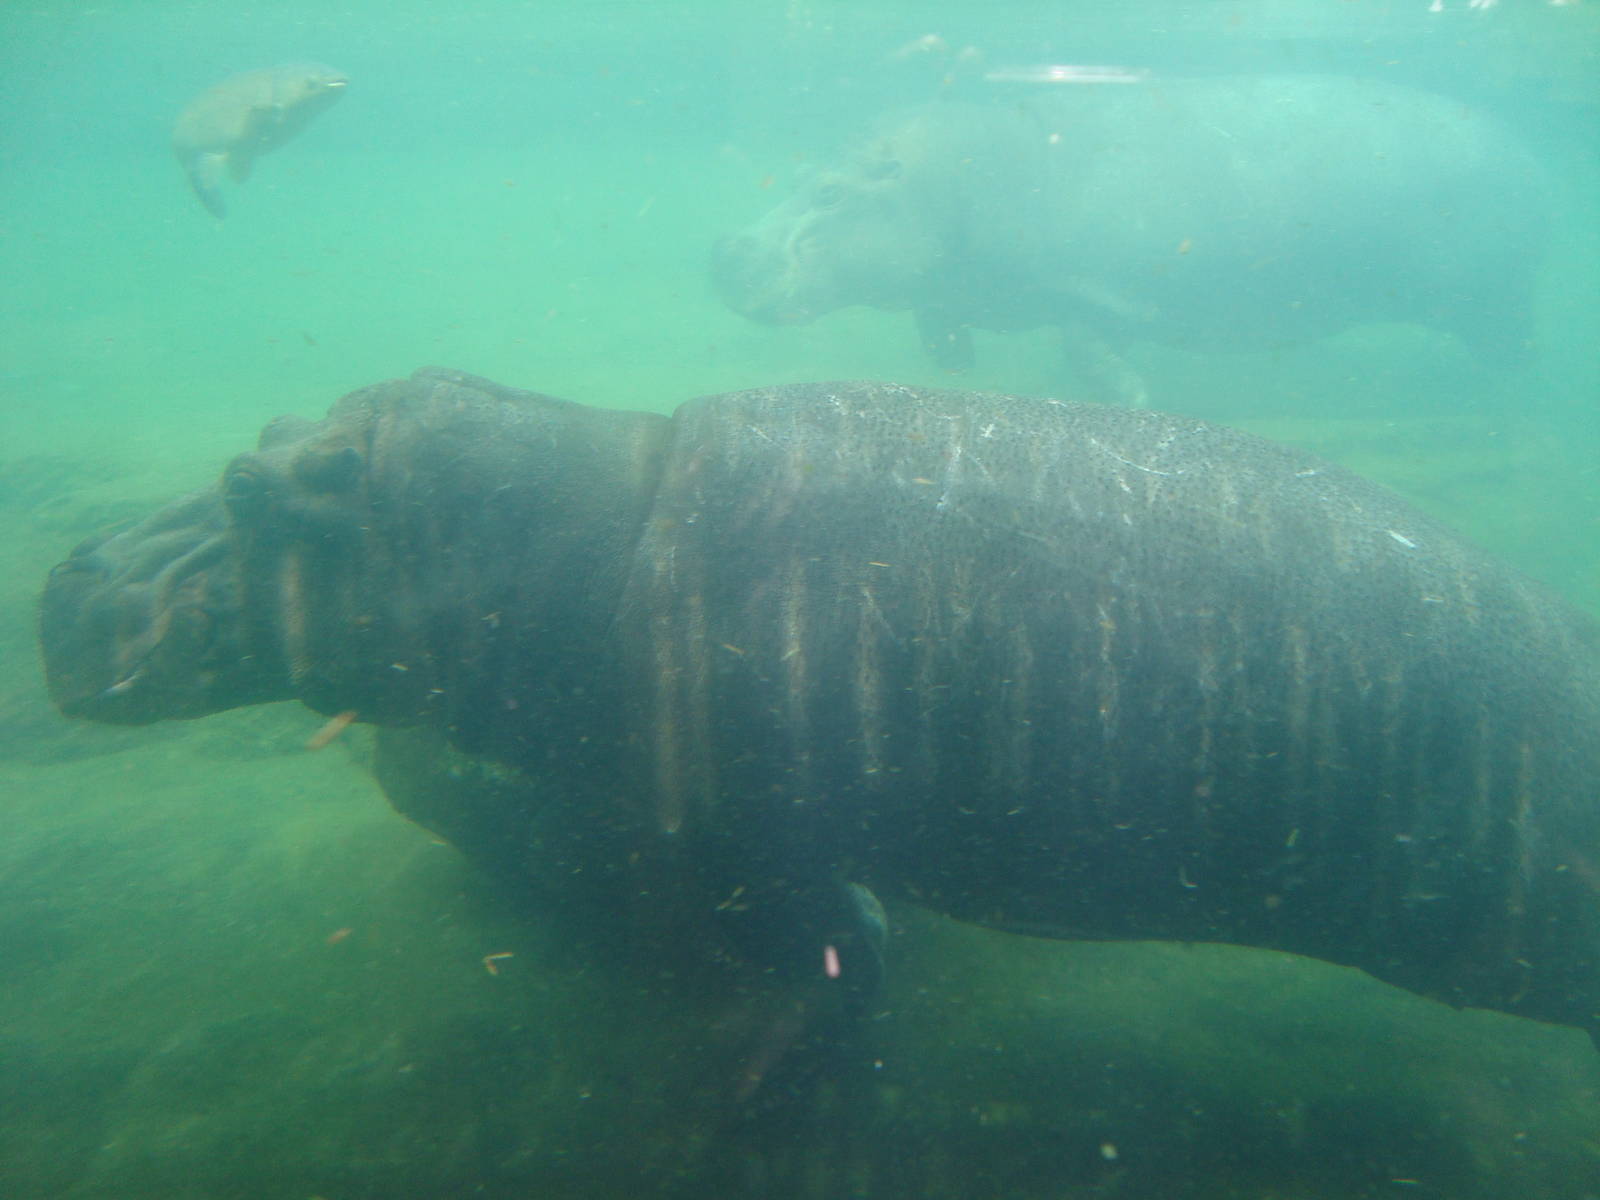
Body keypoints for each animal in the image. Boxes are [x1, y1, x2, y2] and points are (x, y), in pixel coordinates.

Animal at [38, 368, 1600, 1047]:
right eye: (261, 431)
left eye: (253, 488)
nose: (67, 576)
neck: (597, 520)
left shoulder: (738, 830)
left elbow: (792, 926)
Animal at [712, 76, 1549, 396]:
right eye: (802, 175)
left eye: (829, 190)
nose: (724, 250)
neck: (957, 178)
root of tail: (1530, 158)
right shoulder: (946, 280)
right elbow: (938, 314)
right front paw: (953, 357)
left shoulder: (1100, 290)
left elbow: (1091, 347)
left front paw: (1135, 395)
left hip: (1494, 296)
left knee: (1502, 337)